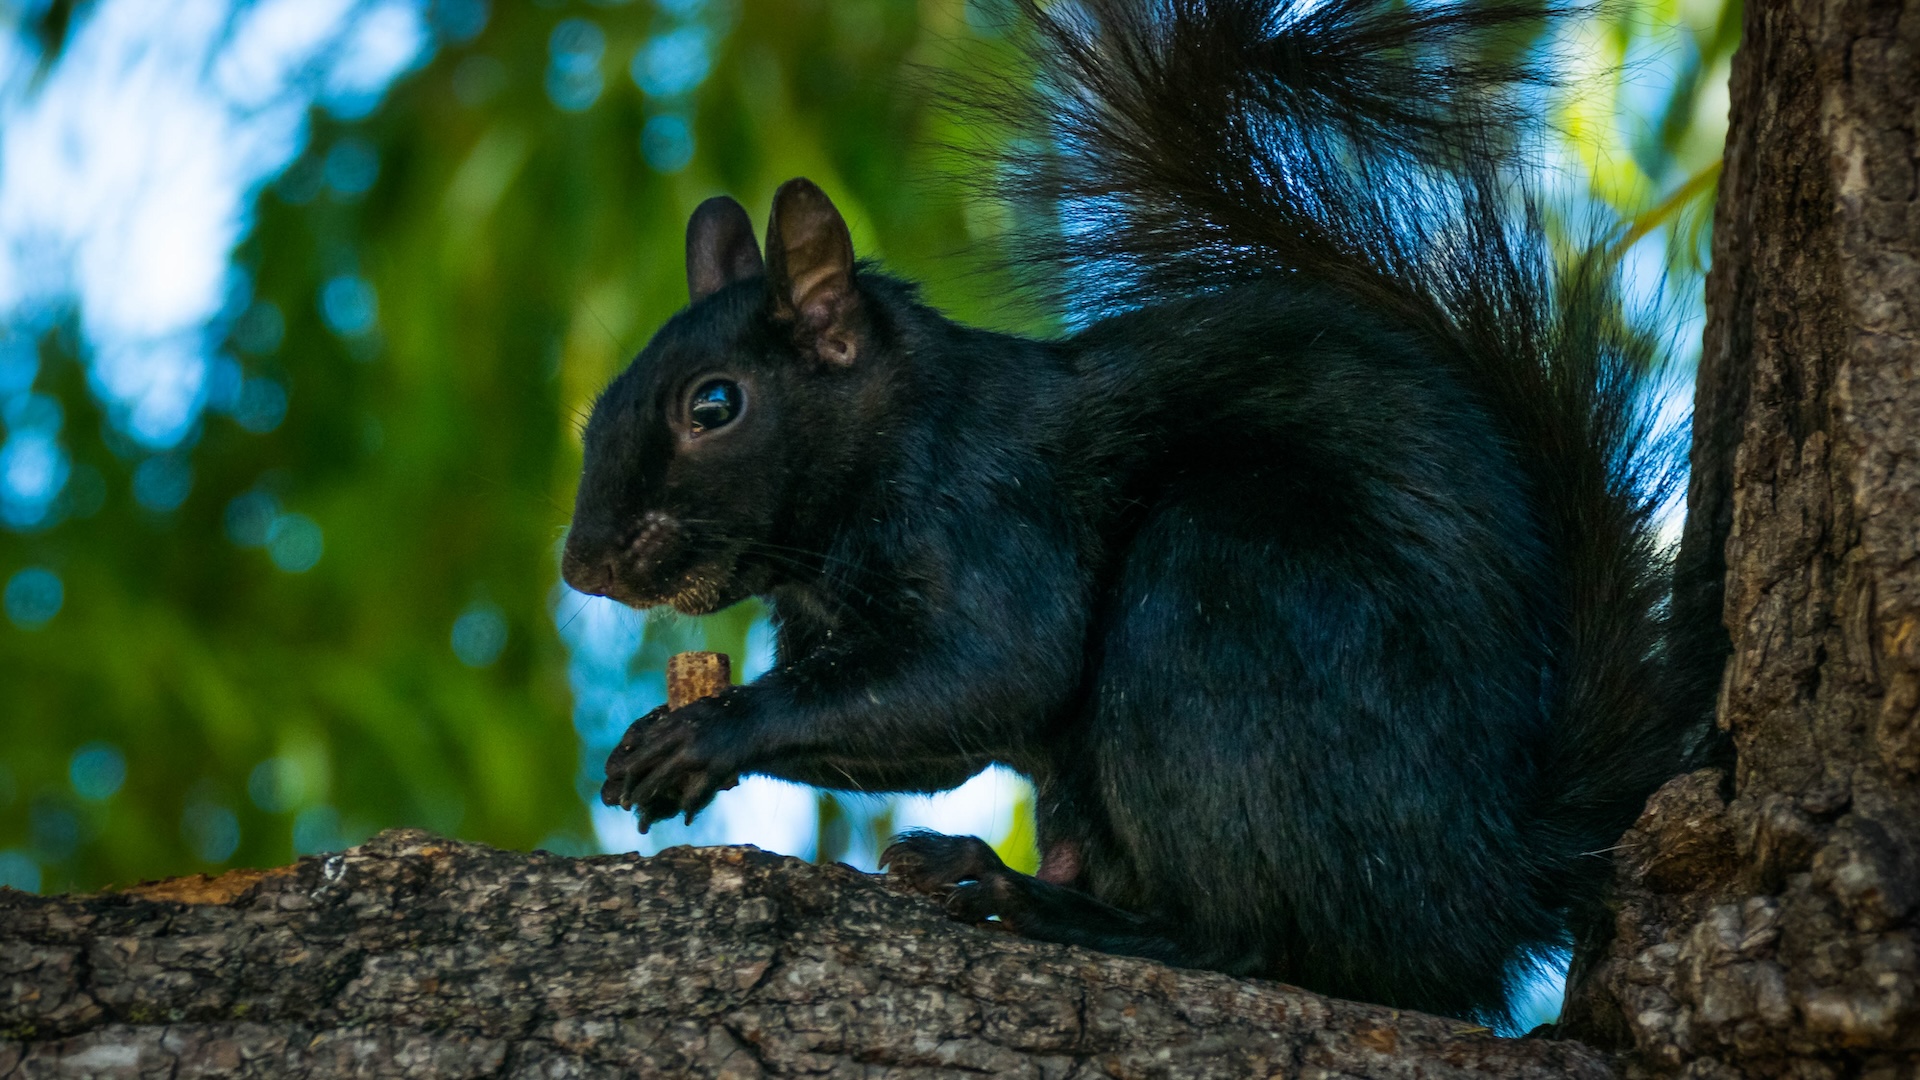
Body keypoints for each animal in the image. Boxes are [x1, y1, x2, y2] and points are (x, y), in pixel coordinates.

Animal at [560, 0, 1704, 1014]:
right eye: (602, 402)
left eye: (714, 405)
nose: (584, 565)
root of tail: (1487, 883)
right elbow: (933, 739)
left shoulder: (991, 516)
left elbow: (995, 667)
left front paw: (707, 732)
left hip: (1224, 602)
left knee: (1250, 937)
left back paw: (1033, 901)